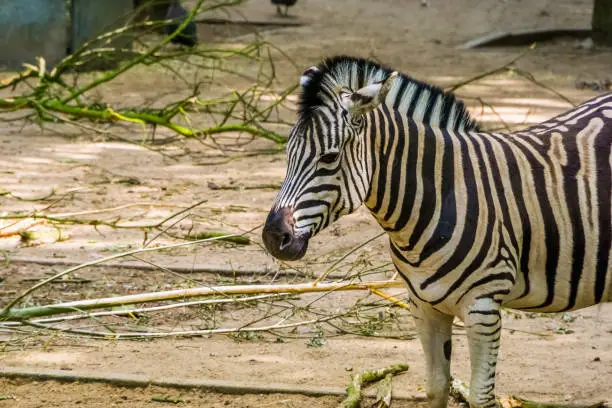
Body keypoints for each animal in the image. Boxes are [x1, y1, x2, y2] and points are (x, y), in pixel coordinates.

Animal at [262, 56, 612, 408]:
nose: (272, 237)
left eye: (330, 157)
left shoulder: (482, 308)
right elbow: (436, 386)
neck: (441, 197)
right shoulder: (424, 306)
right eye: (287, 152)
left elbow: (481, 397)